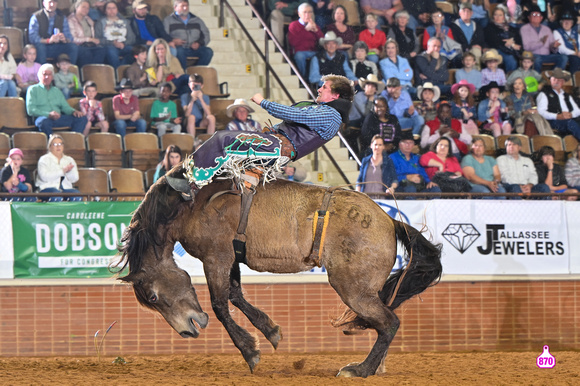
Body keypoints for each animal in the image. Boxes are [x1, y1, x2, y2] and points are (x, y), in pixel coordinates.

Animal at [118, 166, 444, 376]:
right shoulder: (232, 256)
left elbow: (221, 304)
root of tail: (389, 221)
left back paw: (360, 369)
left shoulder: (216, 257)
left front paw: (250, 352)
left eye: (153, 297)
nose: (186, 331)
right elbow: (235, 295)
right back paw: (376, 367)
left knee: (389, 323)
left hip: (353, 290)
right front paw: (271, 331)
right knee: (384, 321)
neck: (188, 207)